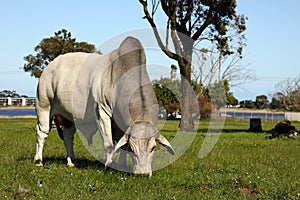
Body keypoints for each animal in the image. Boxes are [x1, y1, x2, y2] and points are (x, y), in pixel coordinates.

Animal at [34, 36, 176, 176]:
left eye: (153, 147)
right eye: (133, 148)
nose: (143, 174)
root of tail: (51, 65)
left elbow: (121, 144)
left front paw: (122, 165)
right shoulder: (102, 111)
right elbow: (109, 144)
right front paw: (109, 165)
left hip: (68, 116)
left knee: (68, 135)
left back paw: (71, 161)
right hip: (43, 105)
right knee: (42, 132)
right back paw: (38, 161)